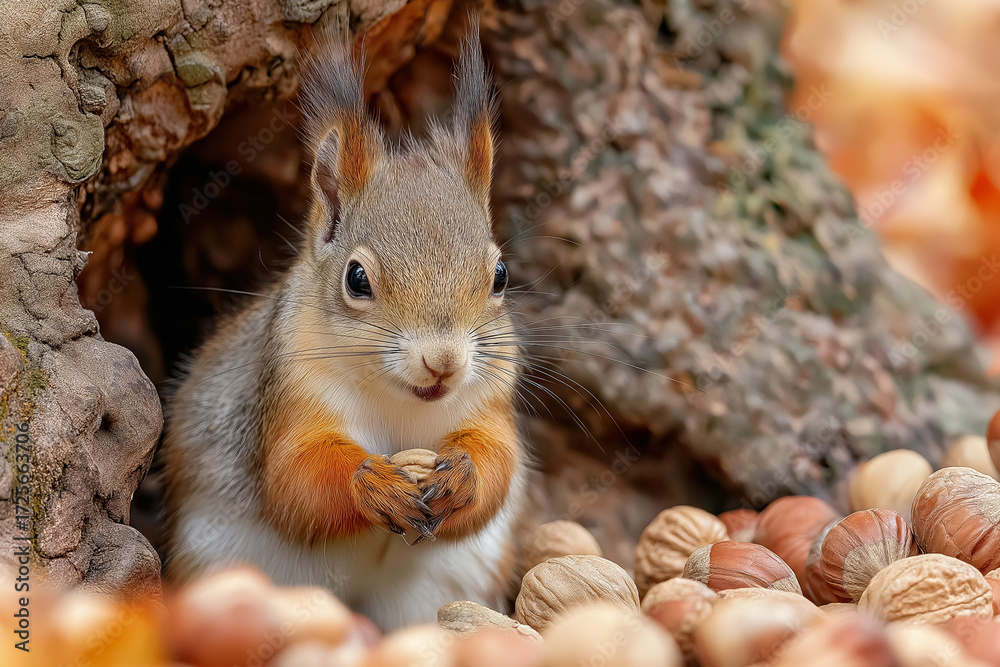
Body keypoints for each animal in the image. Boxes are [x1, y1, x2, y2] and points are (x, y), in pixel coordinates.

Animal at [161, 27, 528, 631]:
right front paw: (374, 484)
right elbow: (296, 481)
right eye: (357, 279)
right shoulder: (286, 392)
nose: (443, 362)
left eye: (499, 275)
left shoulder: (490, 398)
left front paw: (465, 476)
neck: (400, 403)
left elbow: (499, 463)